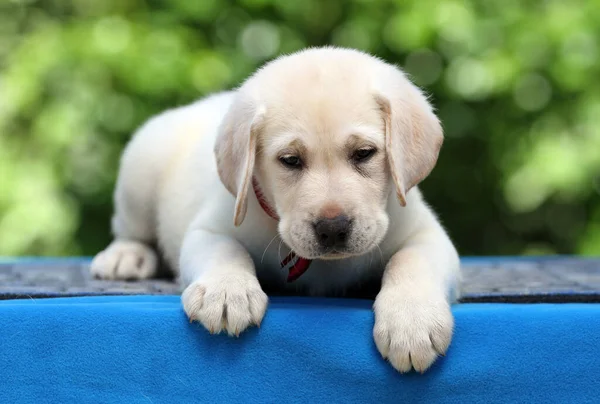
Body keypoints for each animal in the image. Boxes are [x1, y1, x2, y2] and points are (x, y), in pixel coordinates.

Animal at [91, 46, 462, 372]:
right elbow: (224, 250)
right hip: (140, 171)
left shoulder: (427, 234)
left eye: (364, 153)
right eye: (290, 160)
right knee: (129, 229)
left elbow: (410, 261)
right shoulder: (209, 228)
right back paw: (125, 257)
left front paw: (412, 321)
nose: (332, 229)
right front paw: (226, 292)